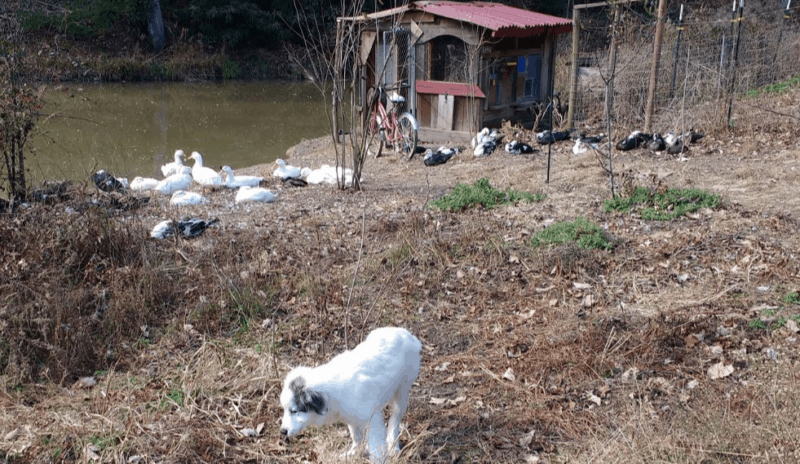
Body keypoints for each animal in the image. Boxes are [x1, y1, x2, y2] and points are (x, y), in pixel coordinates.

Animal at [280, 328, 422, 462]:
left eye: (294, 411)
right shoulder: (350, 418)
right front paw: (353, 453)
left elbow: (376, 450)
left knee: (395, 419)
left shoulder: (373, 422)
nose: (282, 432)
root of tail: (409, 335)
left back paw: (393, 446)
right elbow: (356, 436)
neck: (331, 392)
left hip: (402, 391)